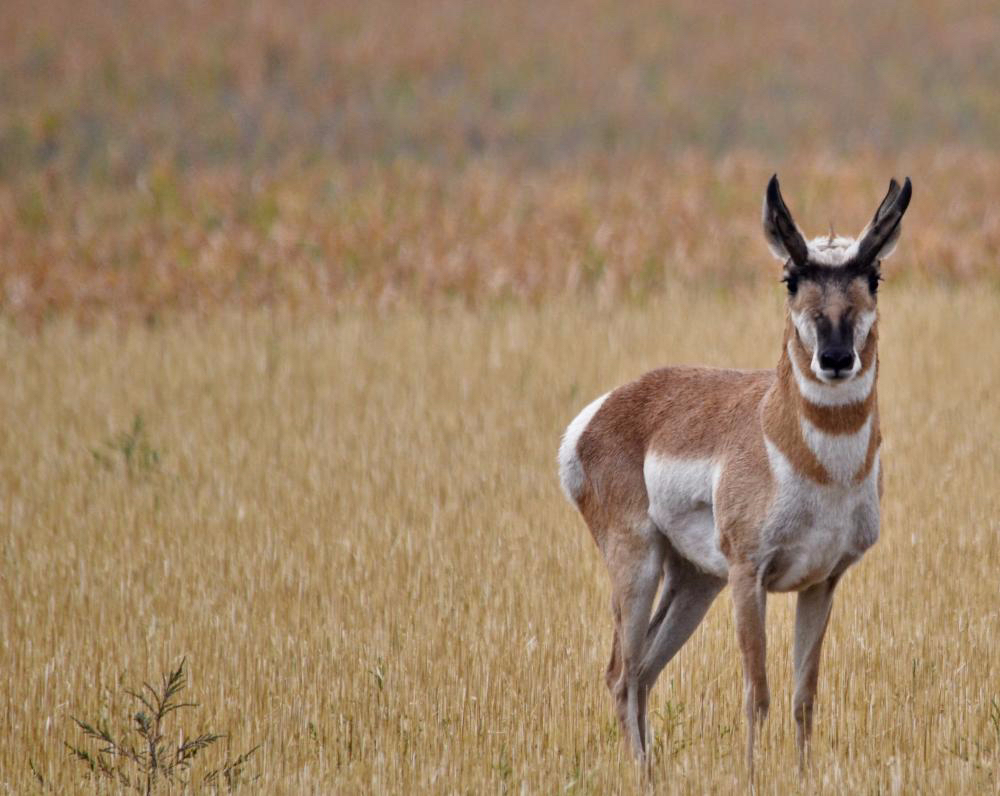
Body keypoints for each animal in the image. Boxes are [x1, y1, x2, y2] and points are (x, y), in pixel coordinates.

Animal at [560, 177, 912, 768]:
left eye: (873, 277)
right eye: (791, 279)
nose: (835, 357)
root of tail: (600, 412)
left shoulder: (822, 581)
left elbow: (803, 698)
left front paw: (803, 775)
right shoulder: (750, 575)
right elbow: (758, 694)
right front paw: (751, 776)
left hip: (695, 579)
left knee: (645, 671)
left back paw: (654, 773)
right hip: (639, 564)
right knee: (620, 674)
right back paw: (640, 774)